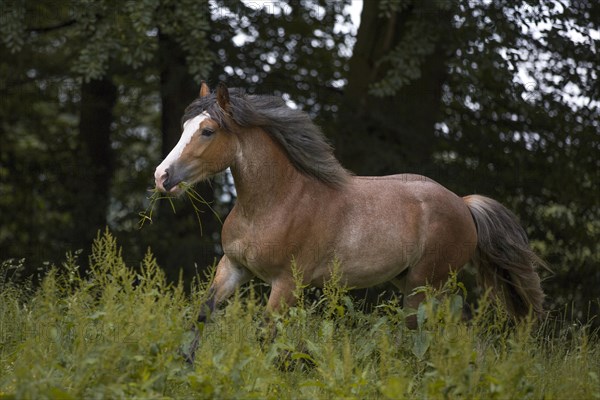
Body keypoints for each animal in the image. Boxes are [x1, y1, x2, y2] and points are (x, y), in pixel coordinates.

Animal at [152, 81, 548, 362]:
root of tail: (464, 205)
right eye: (185, 126)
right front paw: (183, 363)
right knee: (457, 331)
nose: (162, 177)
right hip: (421, 284)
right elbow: (201, 314)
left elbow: (266, 335)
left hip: (423, 287)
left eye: (207, 131)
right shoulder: (233, 267)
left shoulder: (286, 284)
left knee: (422, 336)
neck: (274, 202)